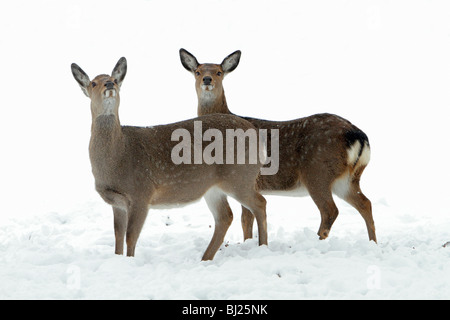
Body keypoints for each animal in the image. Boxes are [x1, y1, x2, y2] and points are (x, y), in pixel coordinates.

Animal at [70, 55, 268, 260]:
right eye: (93, 83)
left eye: (115, 80)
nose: (109, 84)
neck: (119, 157)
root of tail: (255, 134)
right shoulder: (117, 202)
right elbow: (117, 237)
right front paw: (118, 260)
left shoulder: (141, 192)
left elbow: (130, 237)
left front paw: (129, 261)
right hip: (215, 187)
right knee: (225, 216)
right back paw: (205, 258)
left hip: (239, 176)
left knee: (260, 203)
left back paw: (262, 246)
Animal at [179, 47, 376, 242]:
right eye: (197, 72)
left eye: (219, 72)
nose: (207, 79)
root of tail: (358, 135)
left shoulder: (245, 179)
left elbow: (246, 219)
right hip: (347, 178)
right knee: (365, 203)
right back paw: (372, 242)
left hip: (317, 171)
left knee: (330, 210)